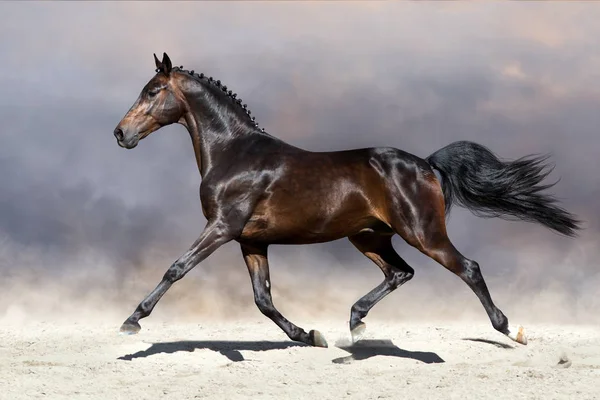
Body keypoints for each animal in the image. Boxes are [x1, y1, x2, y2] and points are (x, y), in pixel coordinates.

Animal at [112, 52, 580, 346]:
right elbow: (263, 299)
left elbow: (176, 268)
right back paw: (355, 322)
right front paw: (308, 336)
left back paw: (509, 330)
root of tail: (427, 165)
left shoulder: (223, 227)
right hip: (370, 236)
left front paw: (132, 321)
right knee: (400, 273)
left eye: (152, 91)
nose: (120, 133)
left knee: (468, 268)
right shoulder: (251, 240)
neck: (235, 153)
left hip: (422, 233)